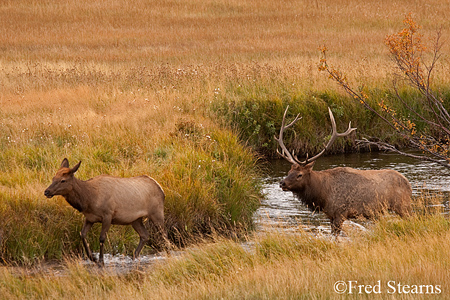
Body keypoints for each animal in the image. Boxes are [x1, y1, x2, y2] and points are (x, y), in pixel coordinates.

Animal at [274, 106, 412, 236]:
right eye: (289, 172)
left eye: (300, 175)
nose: (282, 183)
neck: (323, 194)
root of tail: (408, 184)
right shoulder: (330, 215)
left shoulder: (340, 213)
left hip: (402, 206)